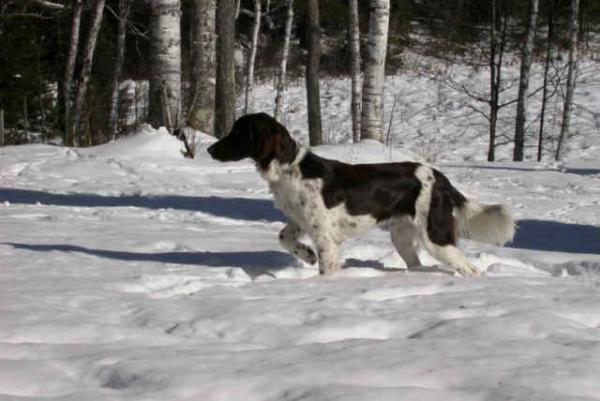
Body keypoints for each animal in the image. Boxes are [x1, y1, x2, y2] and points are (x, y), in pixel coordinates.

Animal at [207, 111, 516, 276]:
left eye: (238, 132)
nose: (209, 149)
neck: (290, 168)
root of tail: (441, 178)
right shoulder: (300, 220)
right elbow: (284, 237)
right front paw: (306, 255)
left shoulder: (326, 237)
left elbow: (326, 268)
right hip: (402, 234)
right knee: (416, 264)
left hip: (434, 236)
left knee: (469, 268)